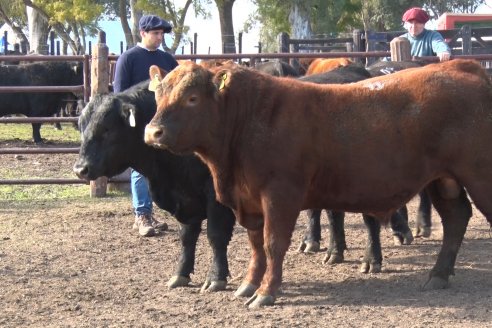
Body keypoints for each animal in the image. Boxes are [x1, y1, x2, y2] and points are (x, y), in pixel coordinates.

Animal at [72, 80, 235, 290]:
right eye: (81, 127)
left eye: (106, 128)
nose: (80, 169)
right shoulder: (186, 196)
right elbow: (187, 236)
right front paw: (180, 274)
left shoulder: (216, 195)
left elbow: (216, 235)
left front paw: (216, 277)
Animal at [144, 59, 492, 308]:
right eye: (158, 95)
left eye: (192, 98)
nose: (152, 132)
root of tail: (463, 66)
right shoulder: (249, 200)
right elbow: (256, 245)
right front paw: (248, 285)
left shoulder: (280, 194)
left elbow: (273, 243)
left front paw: (266, 292)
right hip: (443, 179)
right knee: (456, 218)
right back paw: (438, 275)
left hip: (479, 175)